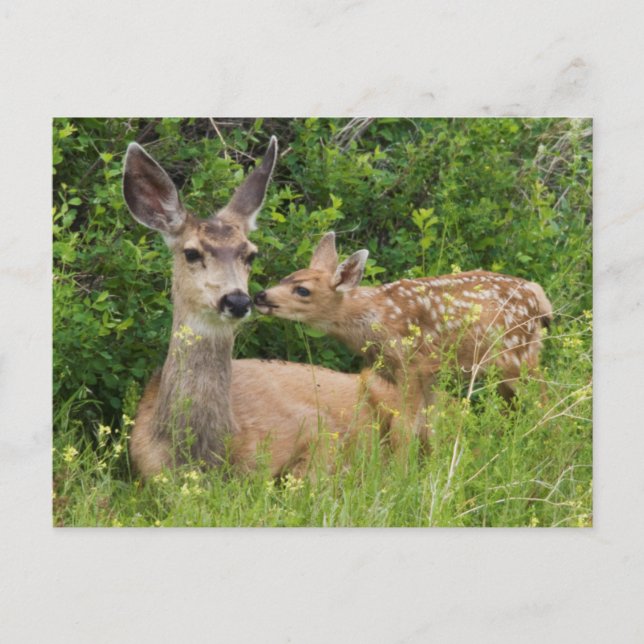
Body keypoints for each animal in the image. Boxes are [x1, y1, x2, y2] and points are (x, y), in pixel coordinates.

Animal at [254, 231, 552, 434]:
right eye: (285, 278)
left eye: (303, 290)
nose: (260, 296)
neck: (374, 317)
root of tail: (538, 295)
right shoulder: (428, 373)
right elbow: (429, 423)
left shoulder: (411, 363)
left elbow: (406, 425)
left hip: (516, 356)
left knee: (544, 403)